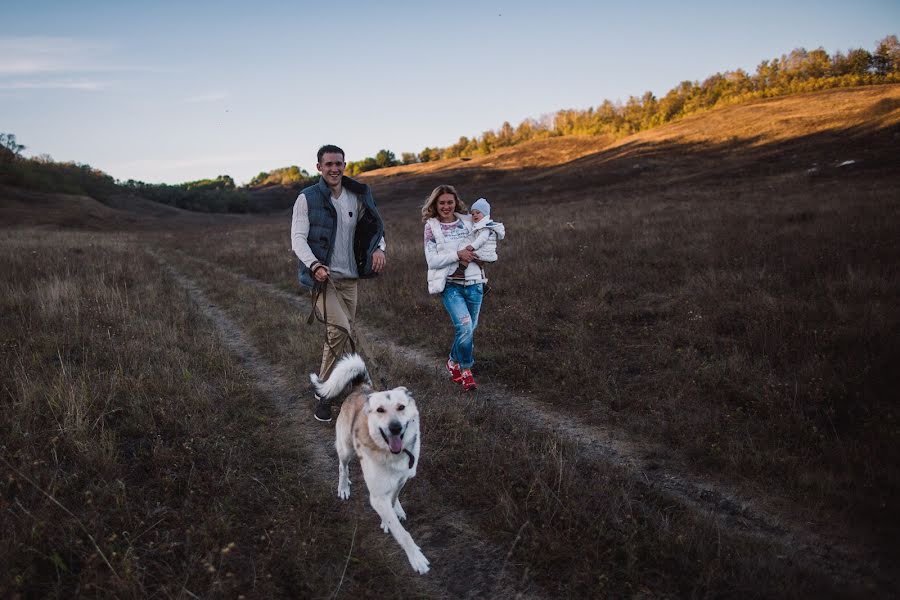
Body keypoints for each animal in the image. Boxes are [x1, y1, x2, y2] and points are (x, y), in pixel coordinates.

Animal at [310, 354, 428, 576]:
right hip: (346, 448)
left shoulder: (401, 480)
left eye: (401, 407)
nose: (395, 427)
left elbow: (393, 499)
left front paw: (391, 514)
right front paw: (416, 557)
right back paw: (344, 486)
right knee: (343, 467)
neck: (392, 455)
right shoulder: (377, 496)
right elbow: (402, 533)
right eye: (380, 410)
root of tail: (361, 388)